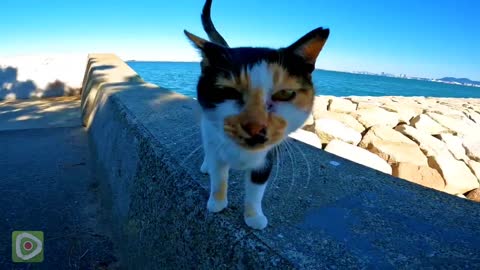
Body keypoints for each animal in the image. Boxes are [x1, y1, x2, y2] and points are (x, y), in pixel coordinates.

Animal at [185, 0, 330, 230]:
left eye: (284, 94)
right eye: (228, 92)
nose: (255, 126)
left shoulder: (268, 157)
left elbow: (256, 189)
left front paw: (253, 217)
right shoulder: (216, 144)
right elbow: (219, 177)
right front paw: (217, 203)